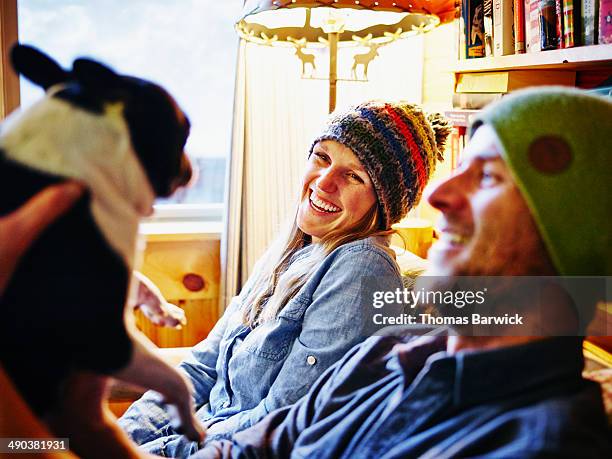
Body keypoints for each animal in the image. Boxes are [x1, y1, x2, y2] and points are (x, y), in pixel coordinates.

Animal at [0, 45, 206, 458]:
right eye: (185, 129)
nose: (193, 165)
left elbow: (139, 280)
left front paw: (163, 310)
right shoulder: (106, 340)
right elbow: (174, 376)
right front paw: (189, 420)